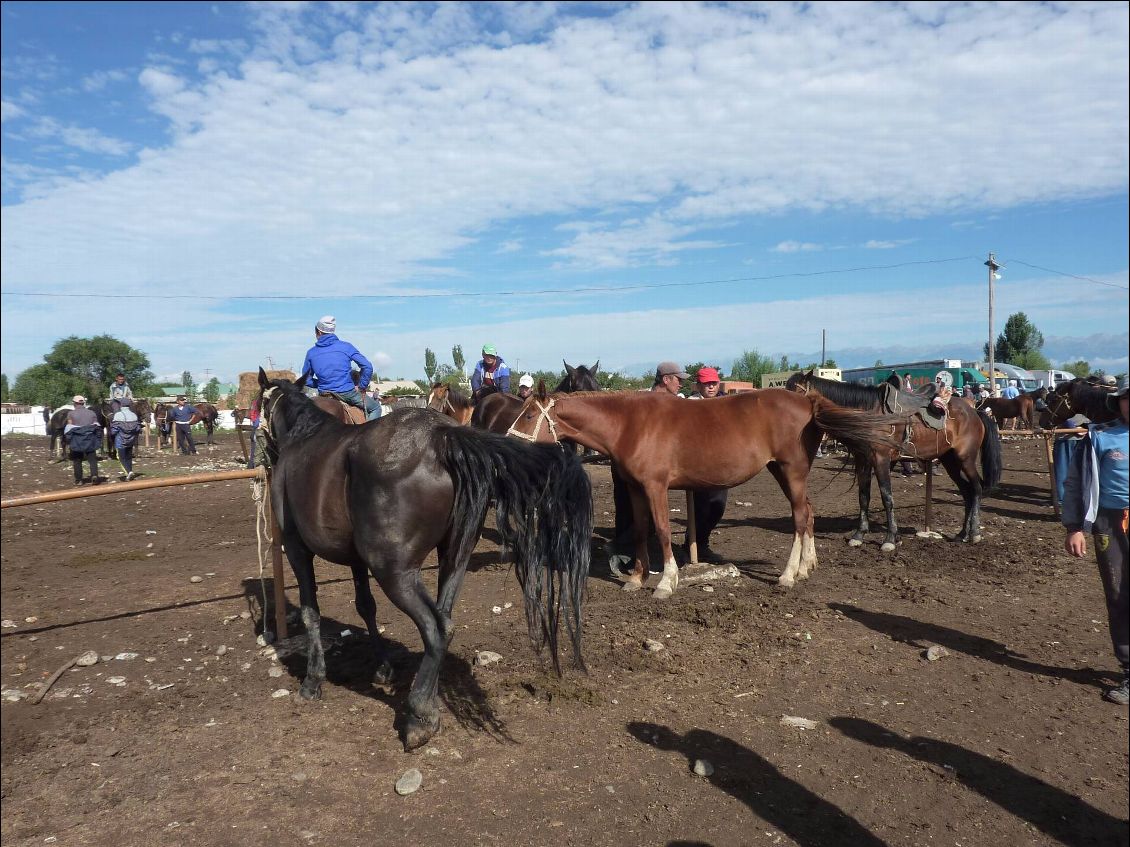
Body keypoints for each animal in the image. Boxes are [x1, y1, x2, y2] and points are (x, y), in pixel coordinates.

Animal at [256, 370, 592, 749]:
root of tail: (442, 437)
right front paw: (383, 668)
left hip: (395, 572)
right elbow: (366, 607)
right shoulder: (357, 560)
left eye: (259, 404)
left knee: (435, 627)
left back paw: (420, 715)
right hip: (454, 558)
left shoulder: (297, 549)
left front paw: (313, 679)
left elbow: (311, 612)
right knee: (445, 622)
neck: (304, 434)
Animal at [503, 383, 899, 596]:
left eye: (528, 415)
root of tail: (807, 400)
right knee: (810, 514)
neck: (630, 424)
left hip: (792, 471)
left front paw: (666, 582)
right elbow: (642, 530)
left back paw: (788, 575)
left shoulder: (656, 487)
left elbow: (663, 530)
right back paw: (807, 566)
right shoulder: (635, 489)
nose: (508, 447)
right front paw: (637, 578)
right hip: (784, 472)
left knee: (801, 517)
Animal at [781, 370, 1003, 551]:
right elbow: (863, 497)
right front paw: (859, 535)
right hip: (950, 461)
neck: (869, 413)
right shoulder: (863, 460)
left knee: (976, 488)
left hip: (965, 459)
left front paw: (890, 538)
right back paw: (961, 534)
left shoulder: (881, 459)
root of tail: (975, 412)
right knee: (966, 492)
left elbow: (887, 497)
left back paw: (974, 533)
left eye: (795, 392)